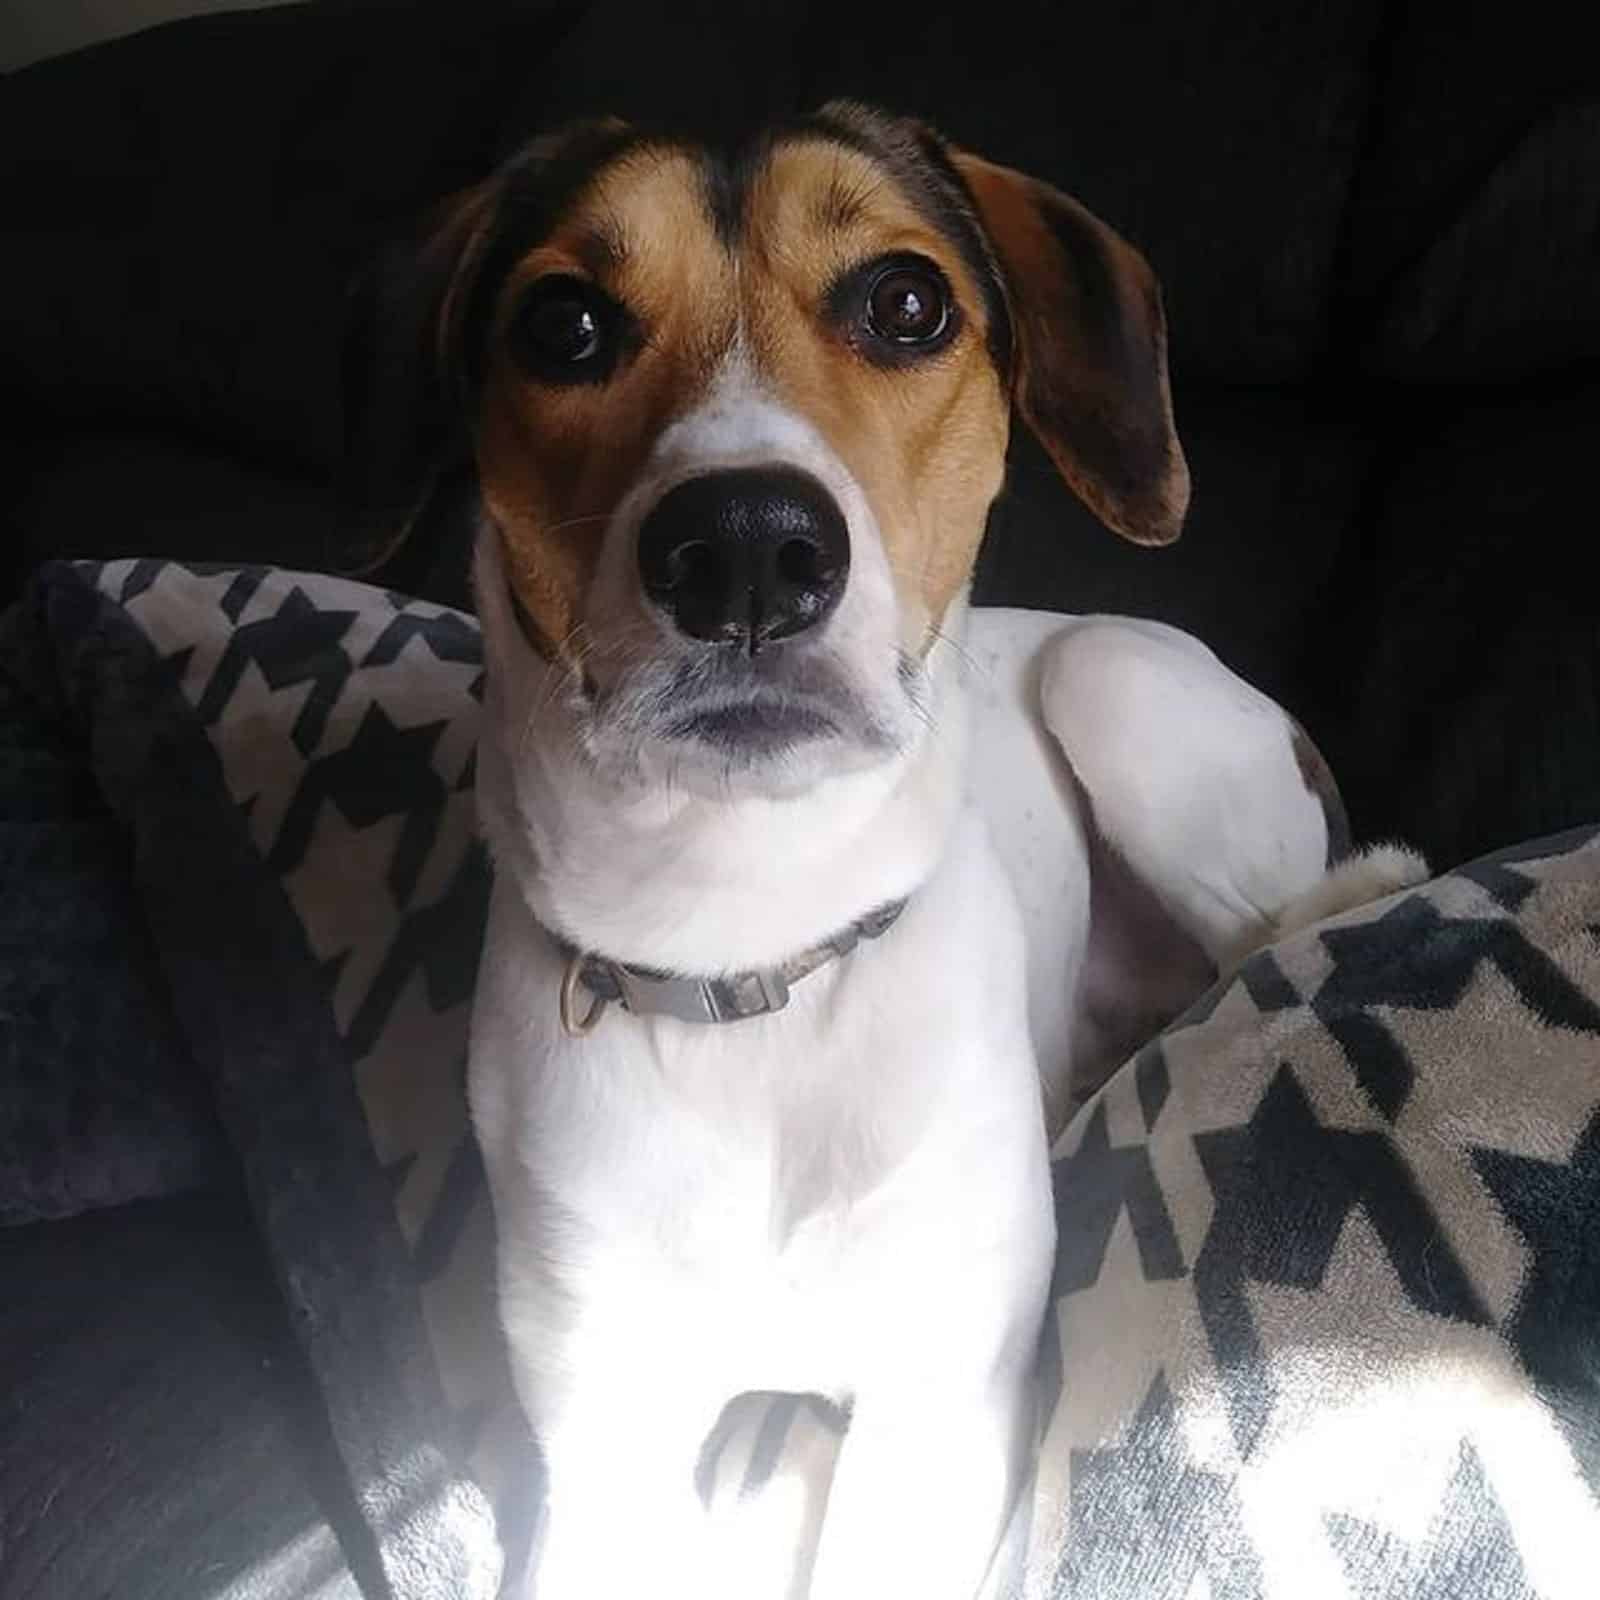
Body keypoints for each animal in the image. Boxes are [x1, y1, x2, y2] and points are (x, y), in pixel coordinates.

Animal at [350, 103, 1427, 1600]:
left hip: (1114, 685)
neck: (746, 945)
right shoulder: (604, 1431)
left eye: (906, 302)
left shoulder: (935, 1404)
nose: (744, 546)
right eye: (562, 325)